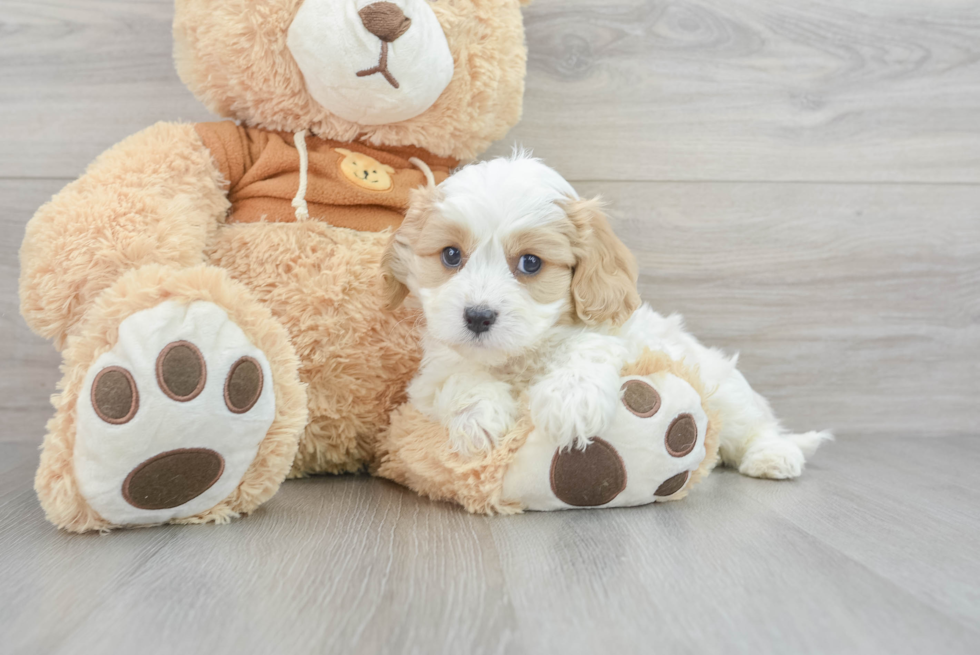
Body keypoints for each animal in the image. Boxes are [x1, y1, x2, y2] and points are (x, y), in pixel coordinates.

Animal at [386, 156, 832, 480]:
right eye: (451, 255)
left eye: (530, 263)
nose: (478, 316)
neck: (519, 357)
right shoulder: (432, 373)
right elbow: (459, 377)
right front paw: (479, 421)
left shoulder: (613, 336)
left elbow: (588, 346)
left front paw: (569, 401)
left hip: (725, 391)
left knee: (756, 425)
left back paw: (774, 456)